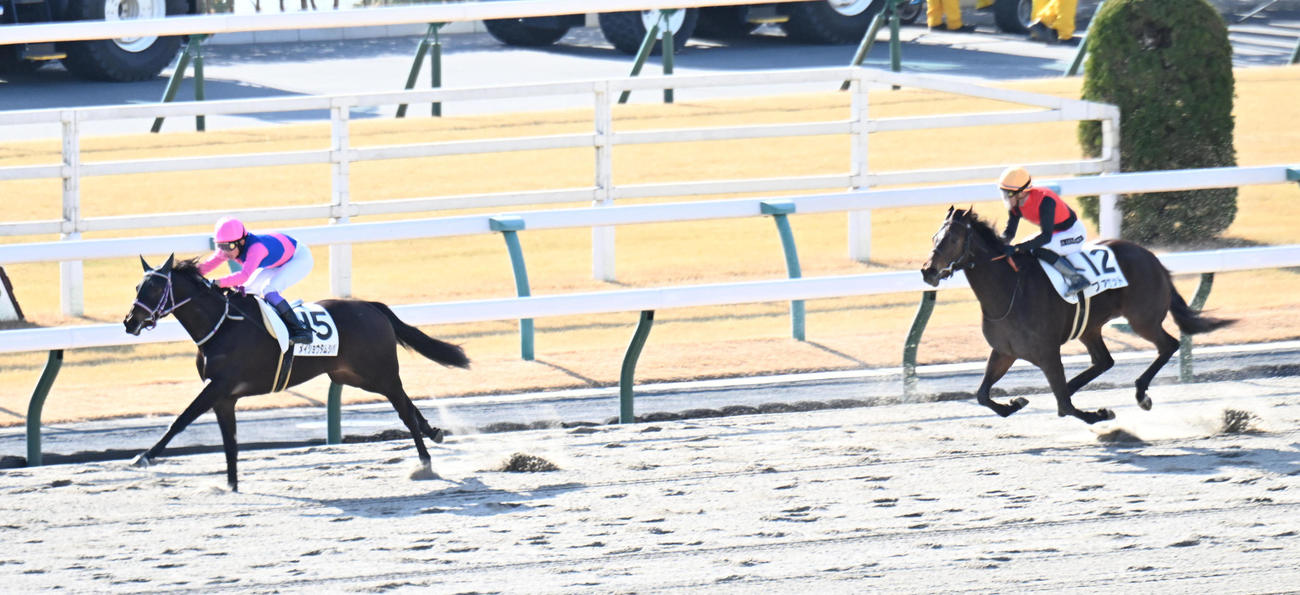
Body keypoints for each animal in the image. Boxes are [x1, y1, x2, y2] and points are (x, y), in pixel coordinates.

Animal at [122, 254, 470, 491]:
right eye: (138, 286)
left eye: (155, 288)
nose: (129, 321)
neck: (222, 326)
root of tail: (371, 306)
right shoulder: (224, 397)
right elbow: (229, 441)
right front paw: (231, 485)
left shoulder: (217, 387)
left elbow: (180, 420)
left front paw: (144, 457)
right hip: (353, 376)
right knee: (405, 400)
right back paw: (434, 432)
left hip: (377, 371)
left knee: (404, 410)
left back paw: (425, 462)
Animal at [919, 207, 1233, 424]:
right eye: (934, 237)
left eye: (952, 239)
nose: (927, 271)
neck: (1008, 290)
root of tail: (1153, 259)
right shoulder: (1004, 351)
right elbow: (983, 395)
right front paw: (1014, 403)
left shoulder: (1047, 353)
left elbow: (1065, 407)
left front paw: (1100, 414)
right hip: (1090, 327)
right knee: (1104, 361)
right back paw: (1077, 386)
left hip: (1142, 319)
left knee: (1168, 345)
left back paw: (1141, 394)